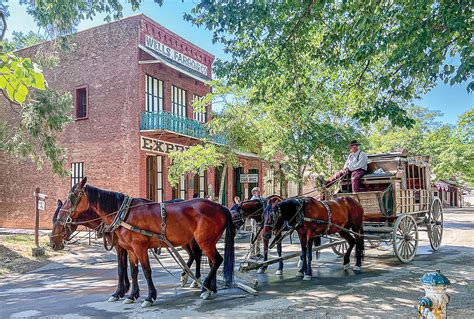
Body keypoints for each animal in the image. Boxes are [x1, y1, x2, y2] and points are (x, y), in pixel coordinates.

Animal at [52, 178, 234, 308]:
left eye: (72, 196)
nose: (53, 243)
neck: (123, 214)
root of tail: (219, 206)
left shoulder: (139, 248)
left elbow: (146, 271)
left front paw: (149, 297)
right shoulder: (129, 249)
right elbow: (131, 271)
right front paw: (130, 295)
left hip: (204, 241)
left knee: (216, 260)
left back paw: (204, 287)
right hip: (202, 241)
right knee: (208, 260)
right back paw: (209, 287)